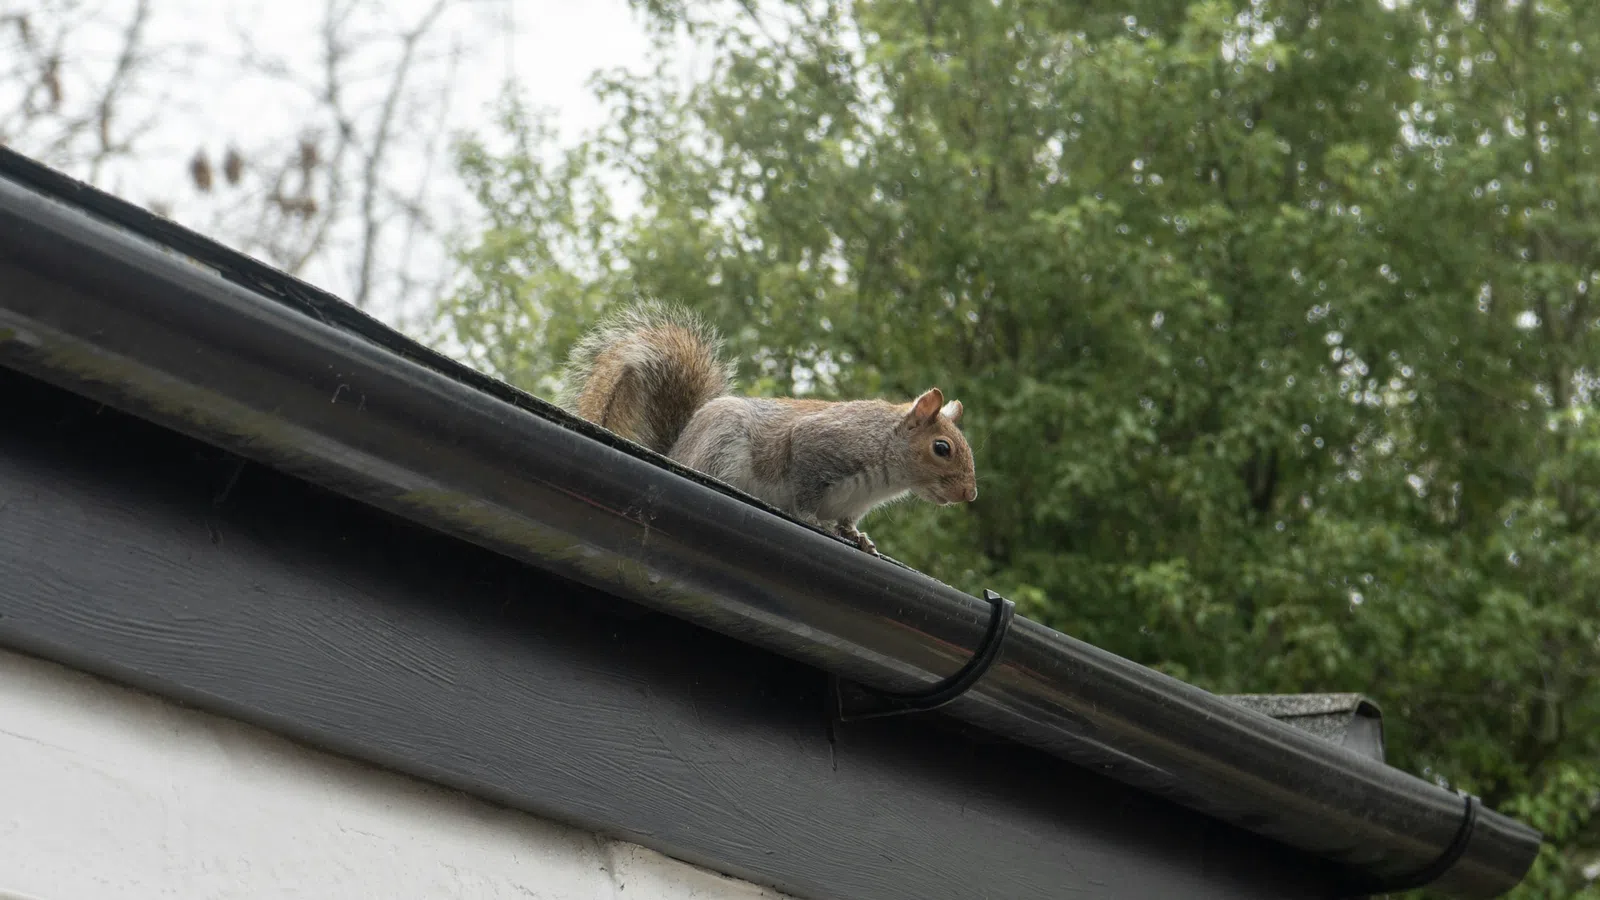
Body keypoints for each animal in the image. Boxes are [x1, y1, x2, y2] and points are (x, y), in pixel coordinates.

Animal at [558, 301, 977, 556]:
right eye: (942, 448)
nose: (969, 494)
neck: (885, 474)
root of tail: (676, 450)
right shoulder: (821, 445)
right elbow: (806, 493)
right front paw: (814, 520)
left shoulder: (852, 503)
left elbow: (847, 522)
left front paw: (858, 537)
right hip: (723, 447)